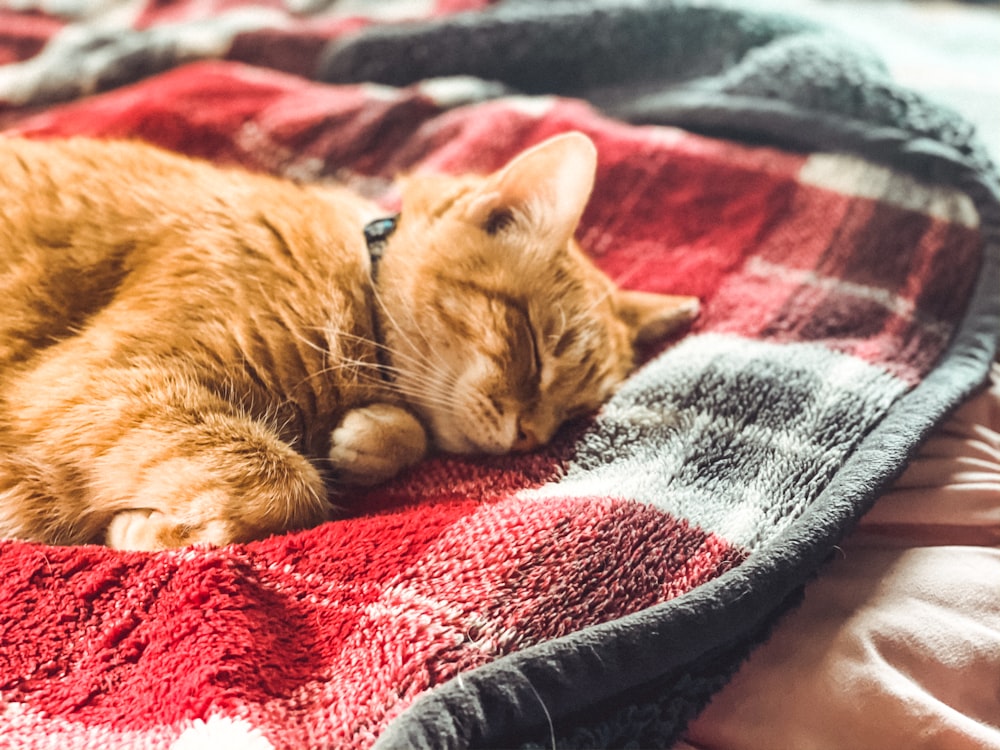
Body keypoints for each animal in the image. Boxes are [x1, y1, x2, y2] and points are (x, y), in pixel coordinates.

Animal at [0, 131, 700, 552]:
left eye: (573, 413)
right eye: (530, 343)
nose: (530, 435)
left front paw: (369, 440)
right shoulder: (105, 384)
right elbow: (289, 485)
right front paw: (149, 529)